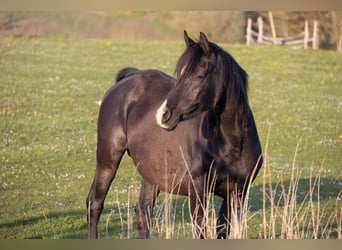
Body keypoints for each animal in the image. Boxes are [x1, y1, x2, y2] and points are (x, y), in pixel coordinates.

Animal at [87, 31, 264, 238]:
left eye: (200, 76)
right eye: (179, 74)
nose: (163, 114)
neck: (230, 144)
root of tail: (129, 77)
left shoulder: (235, 195)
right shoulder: (198, 194)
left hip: (151, 173)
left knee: (143, 212)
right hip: (107, 162)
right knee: (94, 204)